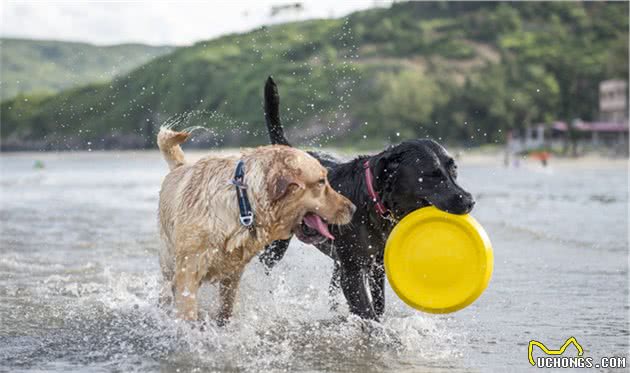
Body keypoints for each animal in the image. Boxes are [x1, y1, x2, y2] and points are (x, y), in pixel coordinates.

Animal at [158, 126, 356, 322]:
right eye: (321, 182)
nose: (353, 208)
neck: (242, 203)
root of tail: (180, 166)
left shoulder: (232, 275)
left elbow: (226, 310)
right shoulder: (188, 272)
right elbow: (188, 312)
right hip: (168, 263)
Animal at [258, 76, 474, 320]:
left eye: (454, 171)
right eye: (431, 175)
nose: (469, 200)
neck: (372, 204)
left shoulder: (377, 266)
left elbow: (378, 304)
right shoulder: (352, 271)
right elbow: (367, 311)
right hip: (277, 244)